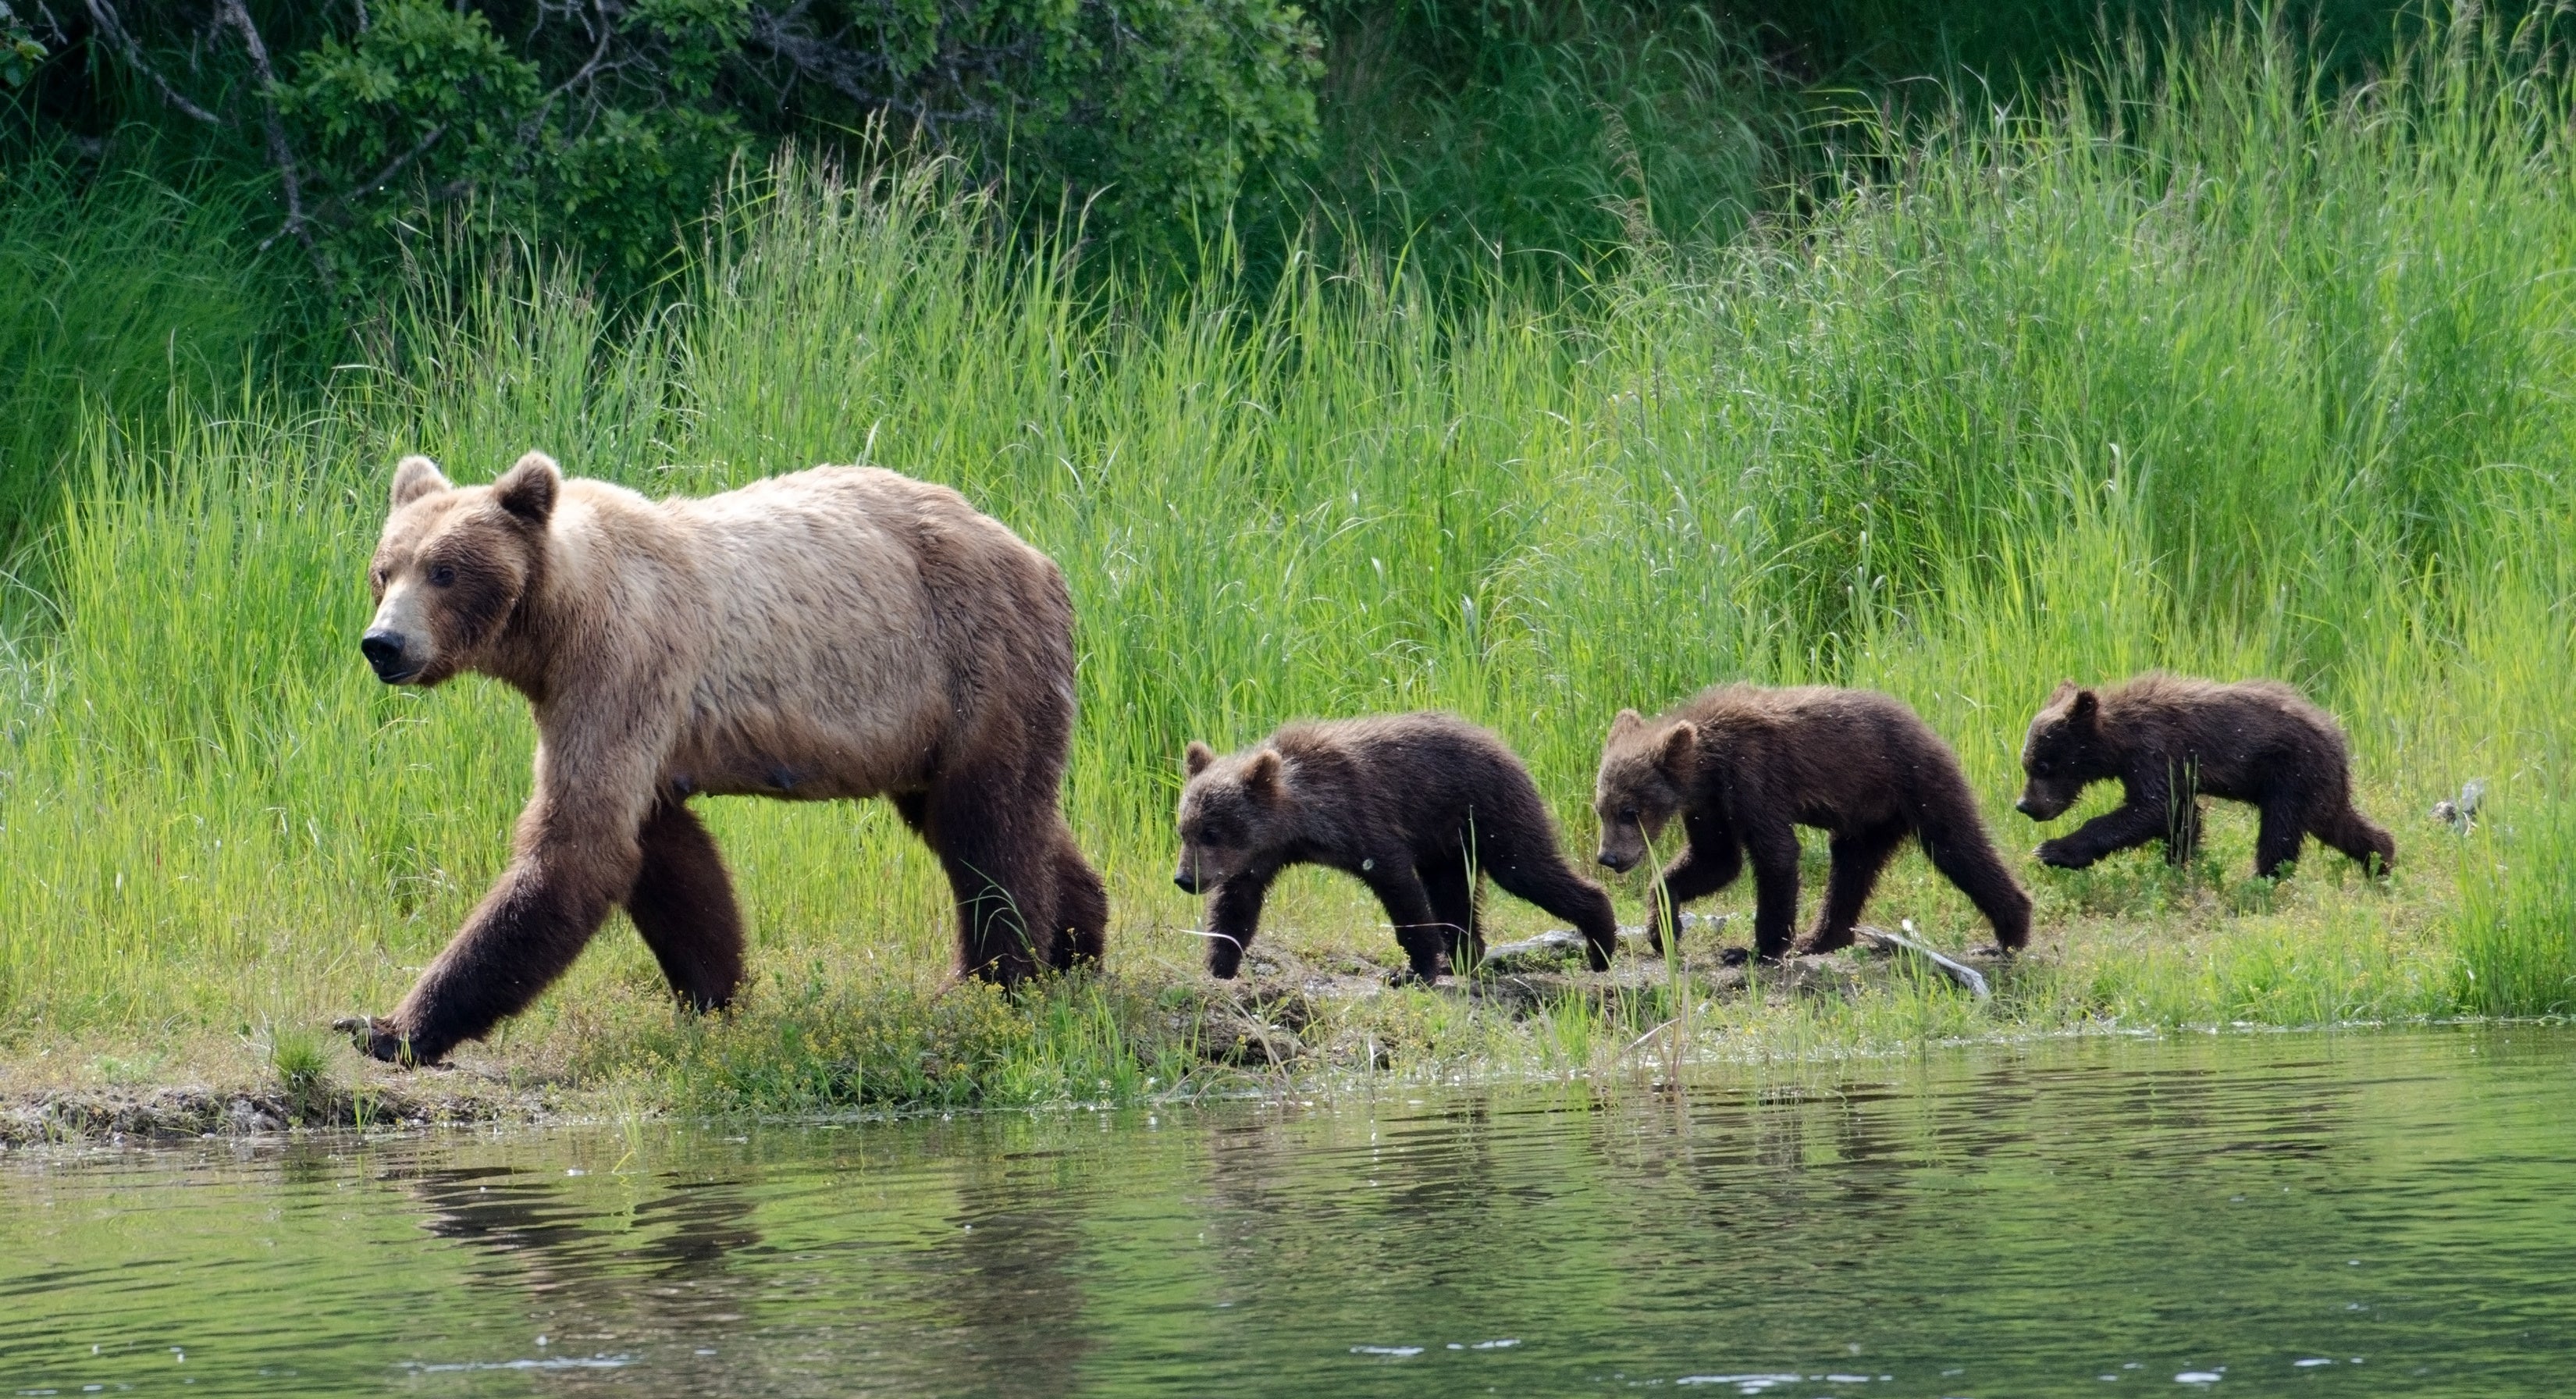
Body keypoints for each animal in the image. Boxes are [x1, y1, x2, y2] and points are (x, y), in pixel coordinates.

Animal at [342, 453, 1108, 1066]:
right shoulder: (618, 713)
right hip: (929, 721)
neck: (552, 624)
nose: (383, 644)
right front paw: (711, 993)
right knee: (997, 817)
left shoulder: (624, 662)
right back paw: (1078, 946)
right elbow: (665, 859)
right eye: (384, 570)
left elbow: (576, 845)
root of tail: (1040, 559)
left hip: (973, 661)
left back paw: (993, 982)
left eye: (443, 570)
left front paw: (387, 1026)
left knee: (988, 826)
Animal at [1169, 716, 1607, 979]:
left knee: (1526, 869)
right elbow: (1236, 906)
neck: (1300, 821)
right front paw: (1219, 966)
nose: (1185, 879)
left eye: (1211, 832)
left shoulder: (1362, 819)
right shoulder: (1257, 858)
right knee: (1453, 894)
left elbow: (1399, 887)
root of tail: (1501, 743)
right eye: (1184, 830)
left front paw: (1415, 969)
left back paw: (1601, 943)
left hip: (1489, 811)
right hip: (1446, 843)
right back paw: (1463, 957)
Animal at [1586, 685, 2030, 963]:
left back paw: (2010, 933)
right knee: (1851, 867)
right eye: (1600, 808)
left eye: (1630, 810)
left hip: (1916, 782)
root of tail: (1927, 727)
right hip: (1869, 817)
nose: (1609, 857)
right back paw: (1820, 939)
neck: (1707, 765)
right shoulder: (1708, 805)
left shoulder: (1753, 777)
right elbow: (1715, 859)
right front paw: (1663, 930)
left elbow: (1776, 854)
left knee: (1957, 846)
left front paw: (1754, 950)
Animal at [2009, 675, 2390, 876]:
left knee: (2280, 828)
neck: (2120, 741)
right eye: (2026, 763)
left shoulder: (2155, 752)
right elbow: (2180, 815)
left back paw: (2263, 877)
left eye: (2042, 766)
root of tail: (2338, 737)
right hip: (2315, 783)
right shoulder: (2166, 770)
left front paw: (2052, 850)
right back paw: (2381, 858)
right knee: (2336, 822)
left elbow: (2152, 808)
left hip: (2291, 773)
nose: (2025, 805)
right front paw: (2177, 864)